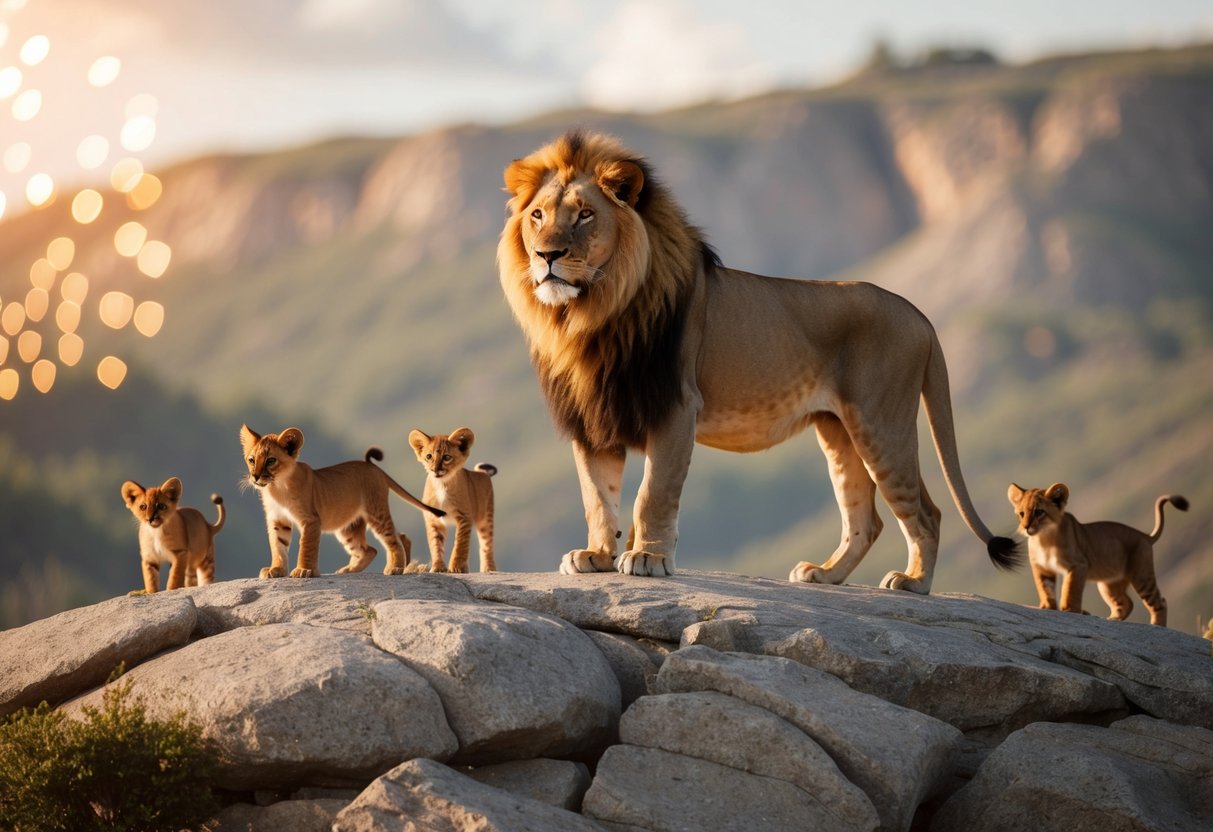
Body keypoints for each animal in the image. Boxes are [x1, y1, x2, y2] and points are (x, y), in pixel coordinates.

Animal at [497, 129, 1019, 591]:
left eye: (585, 215)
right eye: (538, 215)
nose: (546, 255)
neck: (588, 316)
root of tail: (917, 313)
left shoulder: (676, 406)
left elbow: (653, 493)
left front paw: (647, 558)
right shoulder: (592, 416)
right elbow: (597, 497)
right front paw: (597, 556)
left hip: (881, 423)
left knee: (928, 513)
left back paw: (913, 583)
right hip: (839, 431)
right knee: (865, 518)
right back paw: (826, 574)